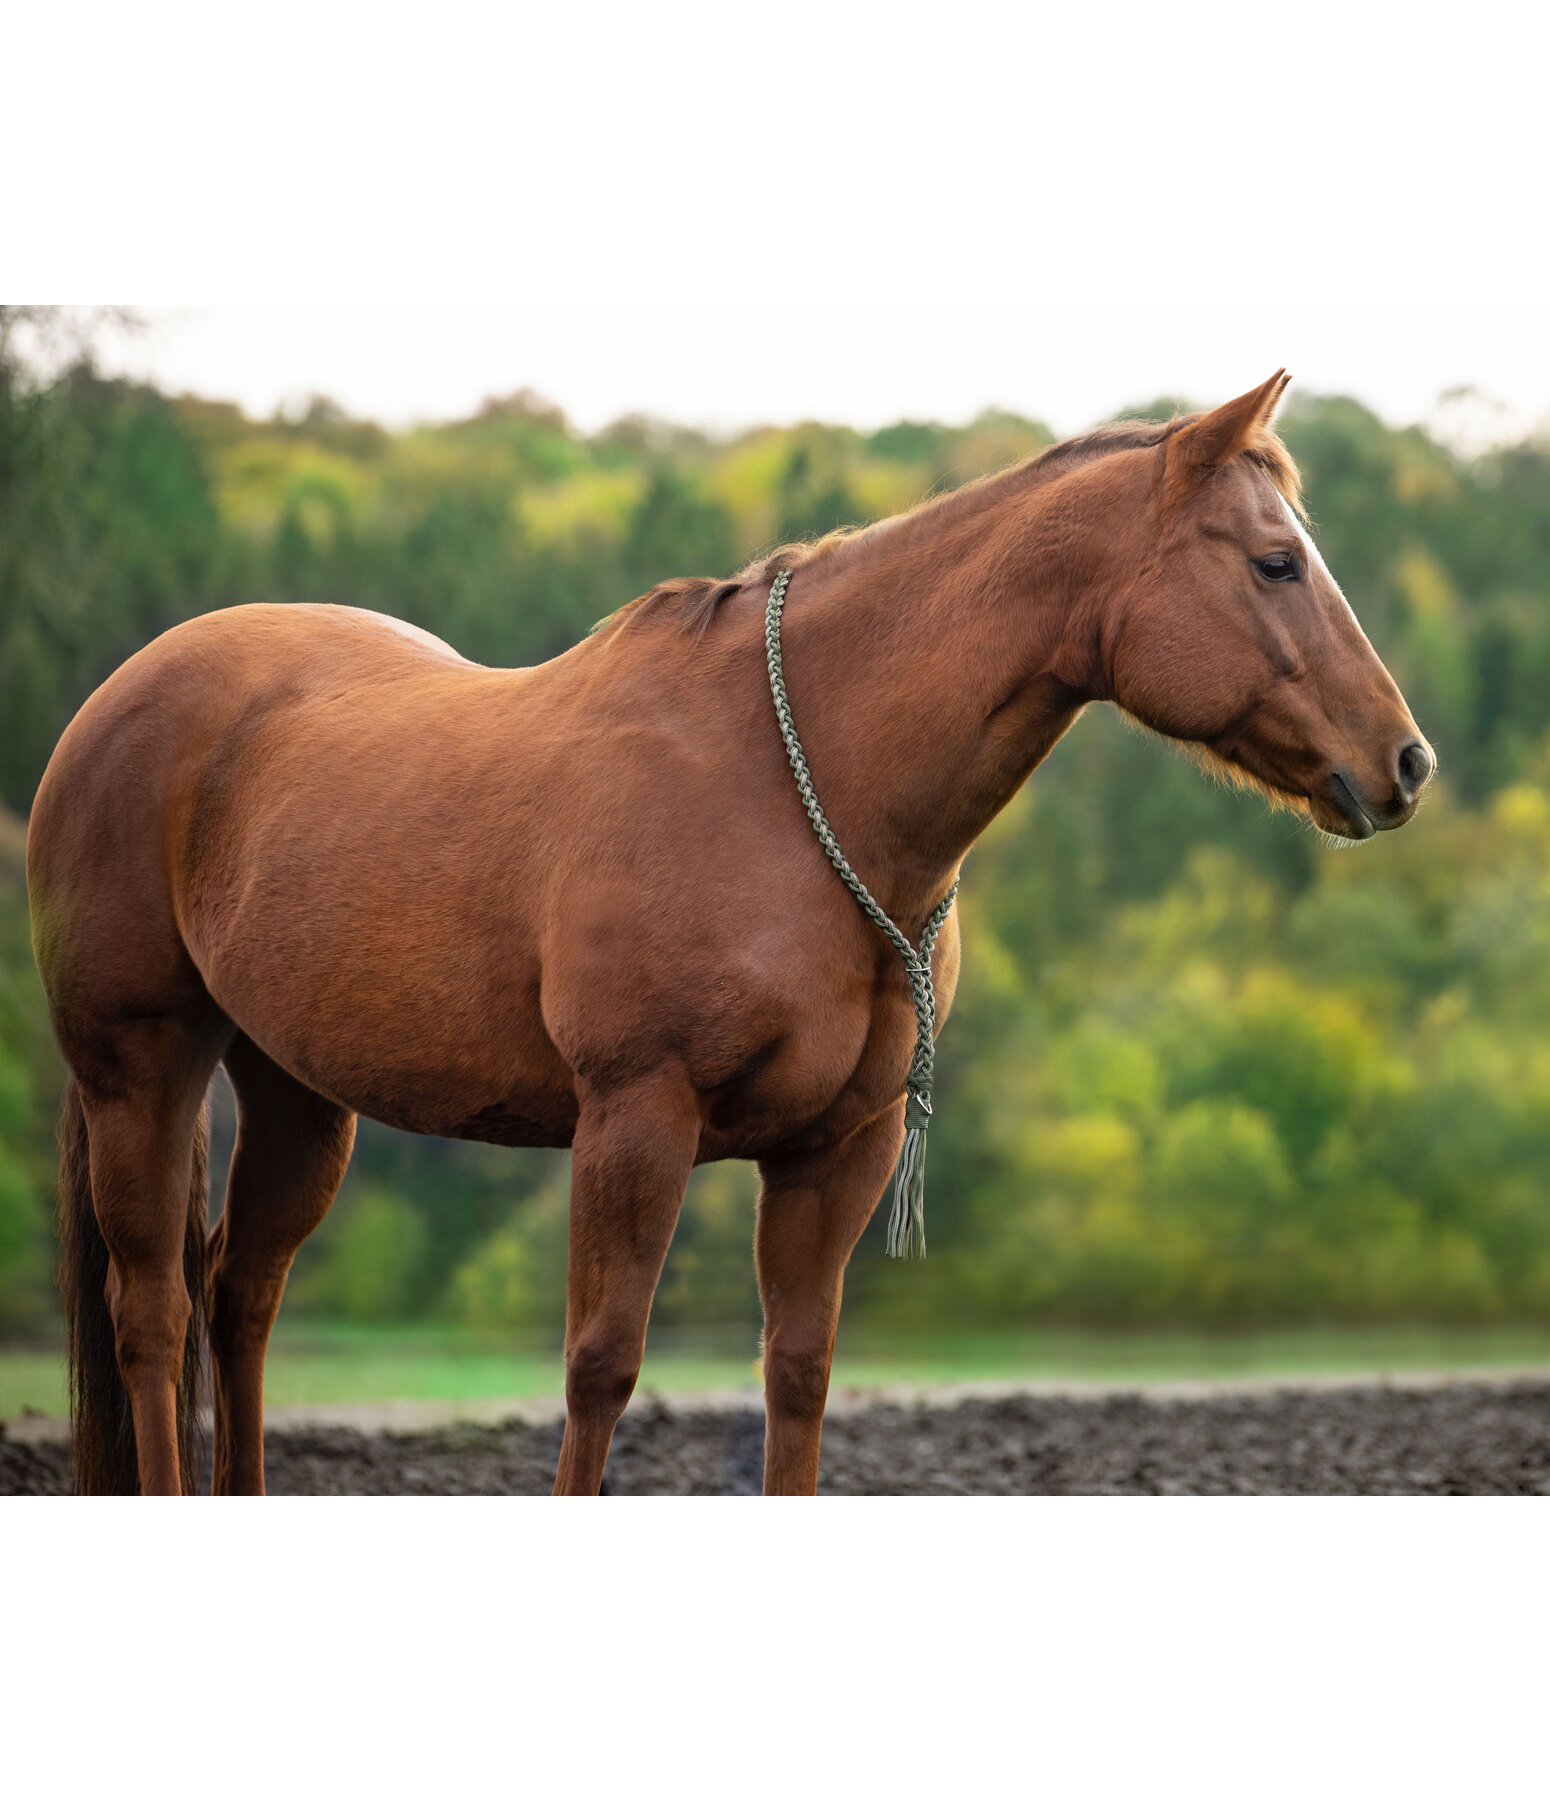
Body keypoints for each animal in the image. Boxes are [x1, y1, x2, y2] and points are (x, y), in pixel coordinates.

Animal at [27, 372, 1425, 1497]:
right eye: (1274, 562)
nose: (1402, 764)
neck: (794, 790)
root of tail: (119, 697)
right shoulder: (634, 1118)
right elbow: (600, 1367)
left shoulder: (837, 1151)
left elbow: (796, 1372)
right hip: (140, 1068)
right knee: (152, 1312)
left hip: (298, 1092)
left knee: (240, 1299)